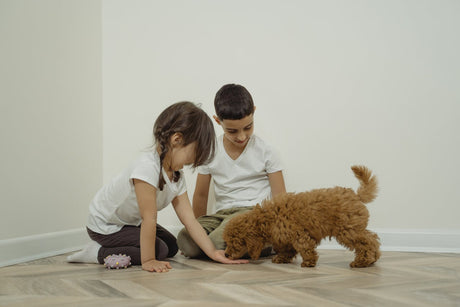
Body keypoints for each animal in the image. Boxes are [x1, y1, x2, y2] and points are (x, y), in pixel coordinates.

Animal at [224, 166, 380, 270]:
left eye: (234, 243)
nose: (225, 254)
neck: (266, 219)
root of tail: (356, 195)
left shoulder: (298, 234)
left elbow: (304, 247)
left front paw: (309, 262)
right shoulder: (285, 238)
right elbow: (288, 249)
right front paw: (281, 258)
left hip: (347, 230)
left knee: (366, 242)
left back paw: (362, 261)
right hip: (353, 228)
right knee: (372, 238)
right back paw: (374, 257)